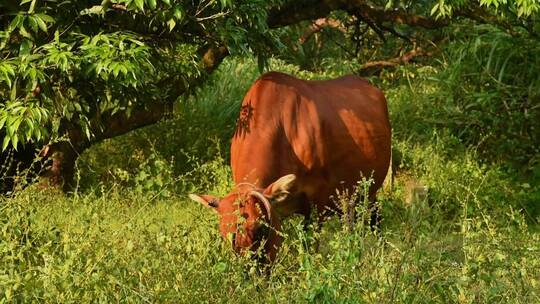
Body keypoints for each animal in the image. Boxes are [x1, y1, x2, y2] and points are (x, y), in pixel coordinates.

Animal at [191, 72, 392, 264]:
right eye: (223, 233)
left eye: (260, 228)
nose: (247, 269)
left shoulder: (317, 200)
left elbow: (310, 244)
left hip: (368, 191)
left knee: (372, 220)